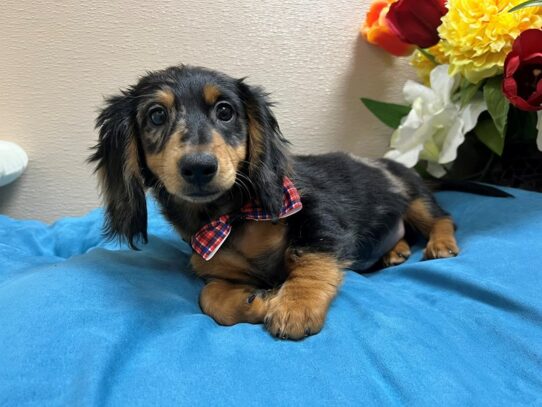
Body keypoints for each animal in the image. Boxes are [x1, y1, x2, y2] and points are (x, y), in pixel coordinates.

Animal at [91, 66, 482, 342]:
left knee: (443, 218)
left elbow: (309, 259)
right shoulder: (213, 266)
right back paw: (395, 251)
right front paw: (254, 301)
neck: (231, 216)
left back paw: (440, 244)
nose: (199, 167)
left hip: (413, 196)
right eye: (156, 115)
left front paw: (295, 306)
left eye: (225, 111)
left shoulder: (319, 214)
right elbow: (209, 297)